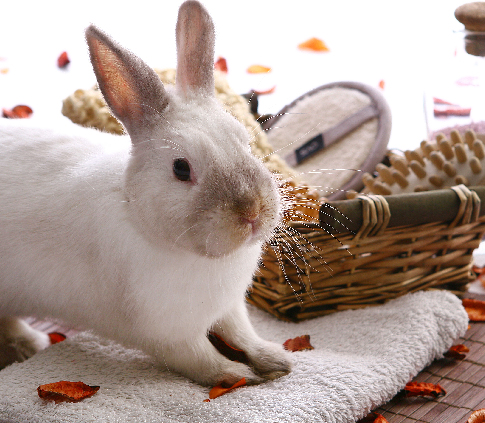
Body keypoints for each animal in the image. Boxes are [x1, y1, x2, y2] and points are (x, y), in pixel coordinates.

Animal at [0, 0, 290, 388]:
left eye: (244, 141)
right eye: (181, 169)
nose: (252, 212)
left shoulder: (230, 308)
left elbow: (243, 335)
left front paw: (276, 360)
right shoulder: (168, 333)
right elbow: (201, 359)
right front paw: (236, 374)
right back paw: (31, 343)